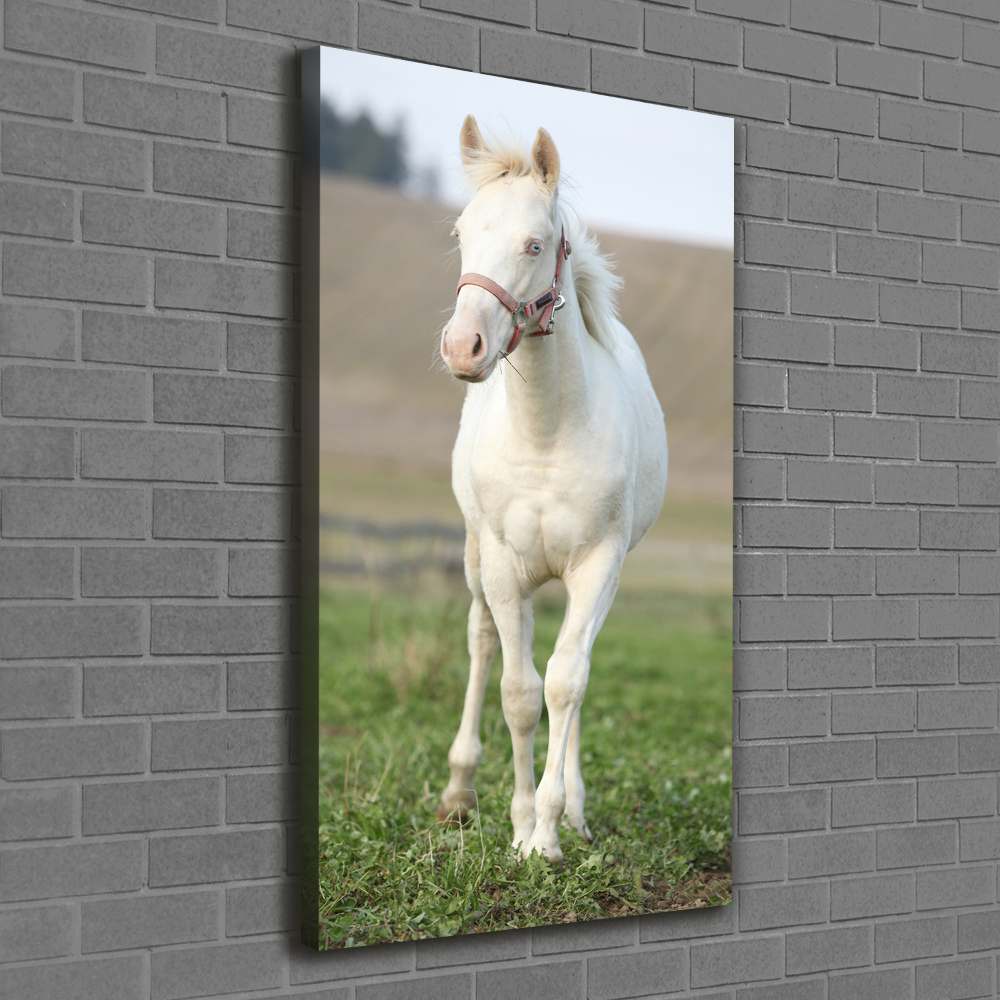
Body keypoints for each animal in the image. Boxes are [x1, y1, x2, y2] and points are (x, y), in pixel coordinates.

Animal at [440, 117, 668, 864]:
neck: (545, 434)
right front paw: (517, 828)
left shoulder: (598, 565)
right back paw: (459, 791)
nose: (463, 347)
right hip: (477, 558)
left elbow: (567, 682)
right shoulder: (504, 566)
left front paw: (548, 829)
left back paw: (574, 809)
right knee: (484, 642)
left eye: (534, 243)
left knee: (573, 668)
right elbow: (518, 690)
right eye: (461, 233)